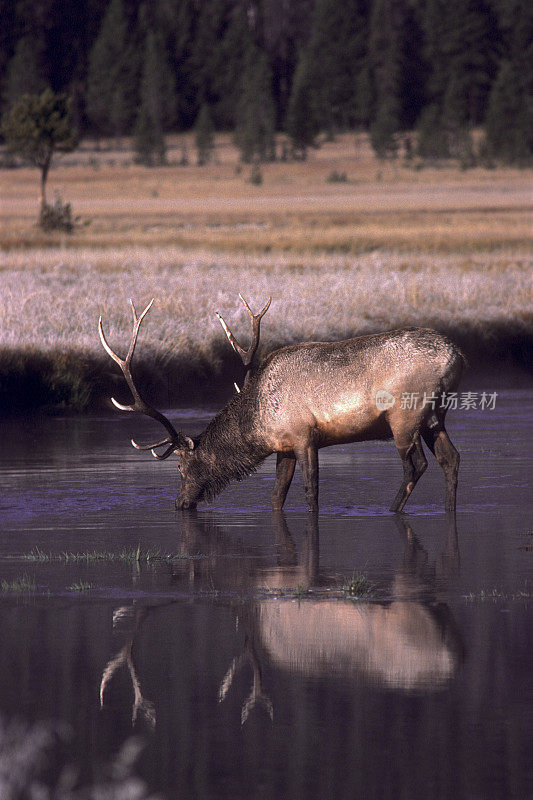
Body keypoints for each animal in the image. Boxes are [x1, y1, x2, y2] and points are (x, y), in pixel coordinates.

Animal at [97, 296, 464, 512]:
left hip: (405, 415)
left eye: (179, 466)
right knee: (451, 458)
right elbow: (276, 495)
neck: (258, 426)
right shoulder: (283, 448)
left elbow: (310, 491)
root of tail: (457, 355)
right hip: (435, 416)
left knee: (416, 466)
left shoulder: (304, 437)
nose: (179, 503)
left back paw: (391, 510)